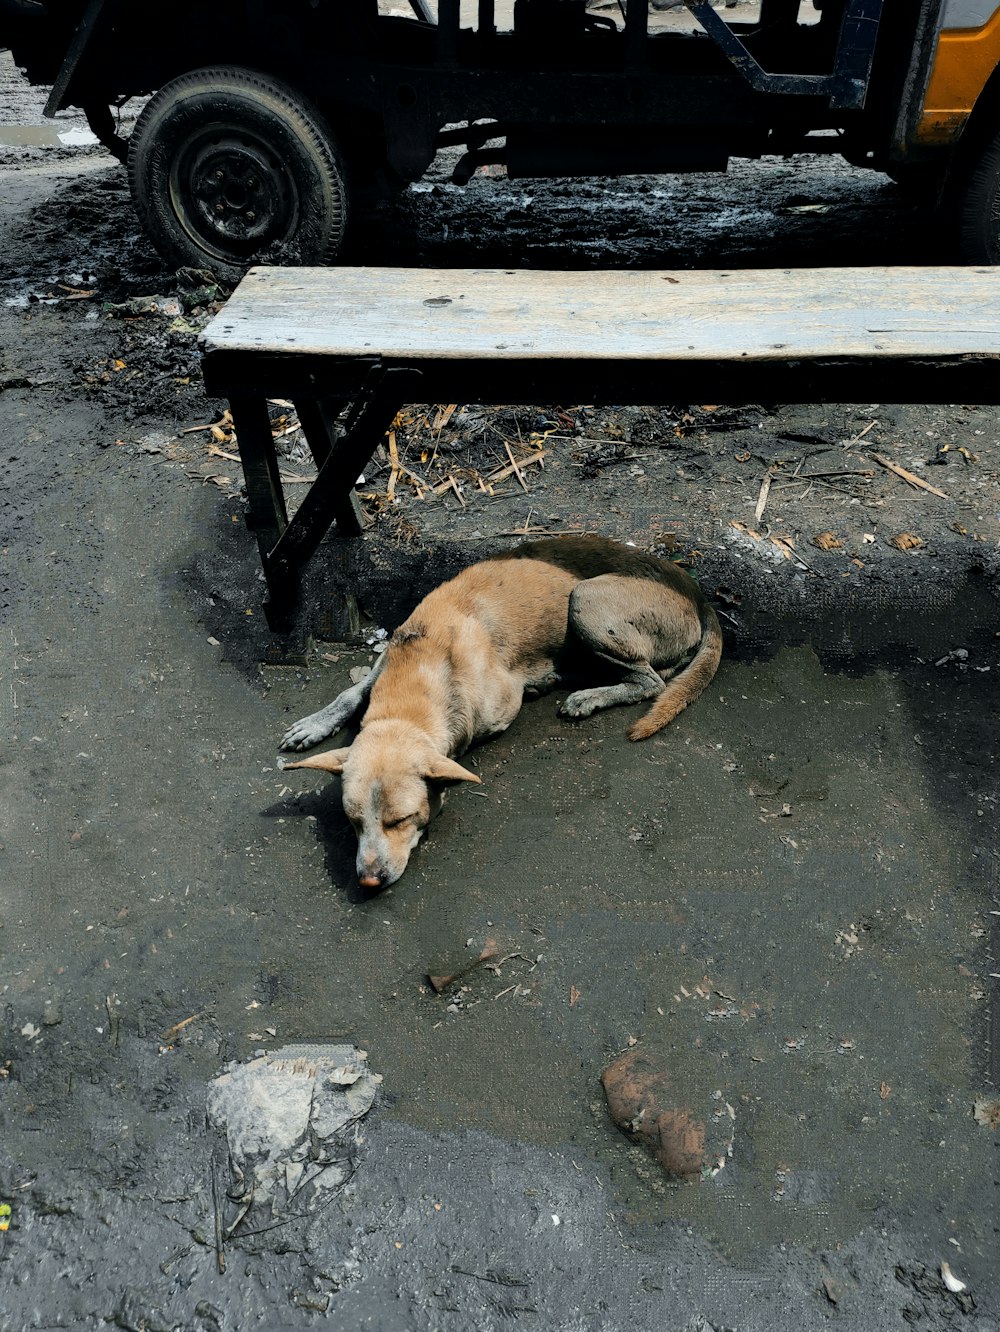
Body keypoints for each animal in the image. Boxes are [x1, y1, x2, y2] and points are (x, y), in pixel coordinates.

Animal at [279, 535, 719, 889]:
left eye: (400, 821)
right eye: (353, 823)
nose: (368, 881)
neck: (422, 667)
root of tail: (696, 593)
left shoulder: (496, 705)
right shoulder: (386, 661)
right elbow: (352, 691)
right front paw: (316, 724)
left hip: (586, 598)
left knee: (652, 681)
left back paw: (588, 695)